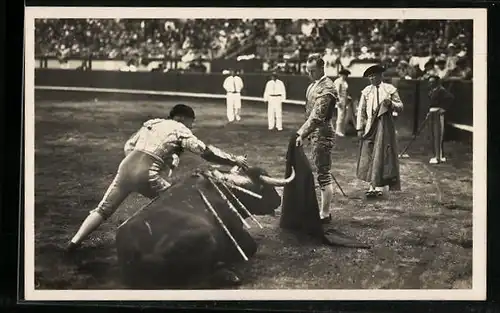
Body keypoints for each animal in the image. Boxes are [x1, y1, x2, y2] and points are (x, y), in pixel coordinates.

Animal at [116, 165, 296, 286]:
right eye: (265, 187)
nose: (278, 200)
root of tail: (139, 252)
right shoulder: (237, 231)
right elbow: (251, 247)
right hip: (206, 239)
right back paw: (229, 275)